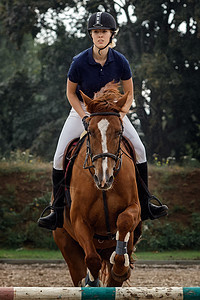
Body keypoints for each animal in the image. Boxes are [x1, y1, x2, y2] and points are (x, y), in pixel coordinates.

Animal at [52, 81, 141, 286]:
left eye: (118, 132)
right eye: (91, 132)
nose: (104, 178)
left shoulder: (134, 207)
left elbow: (124, 220)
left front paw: (120, 266)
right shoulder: (79, 220)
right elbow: (92, 260)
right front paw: (92, 282)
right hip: (67, 246)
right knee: (80, 268)